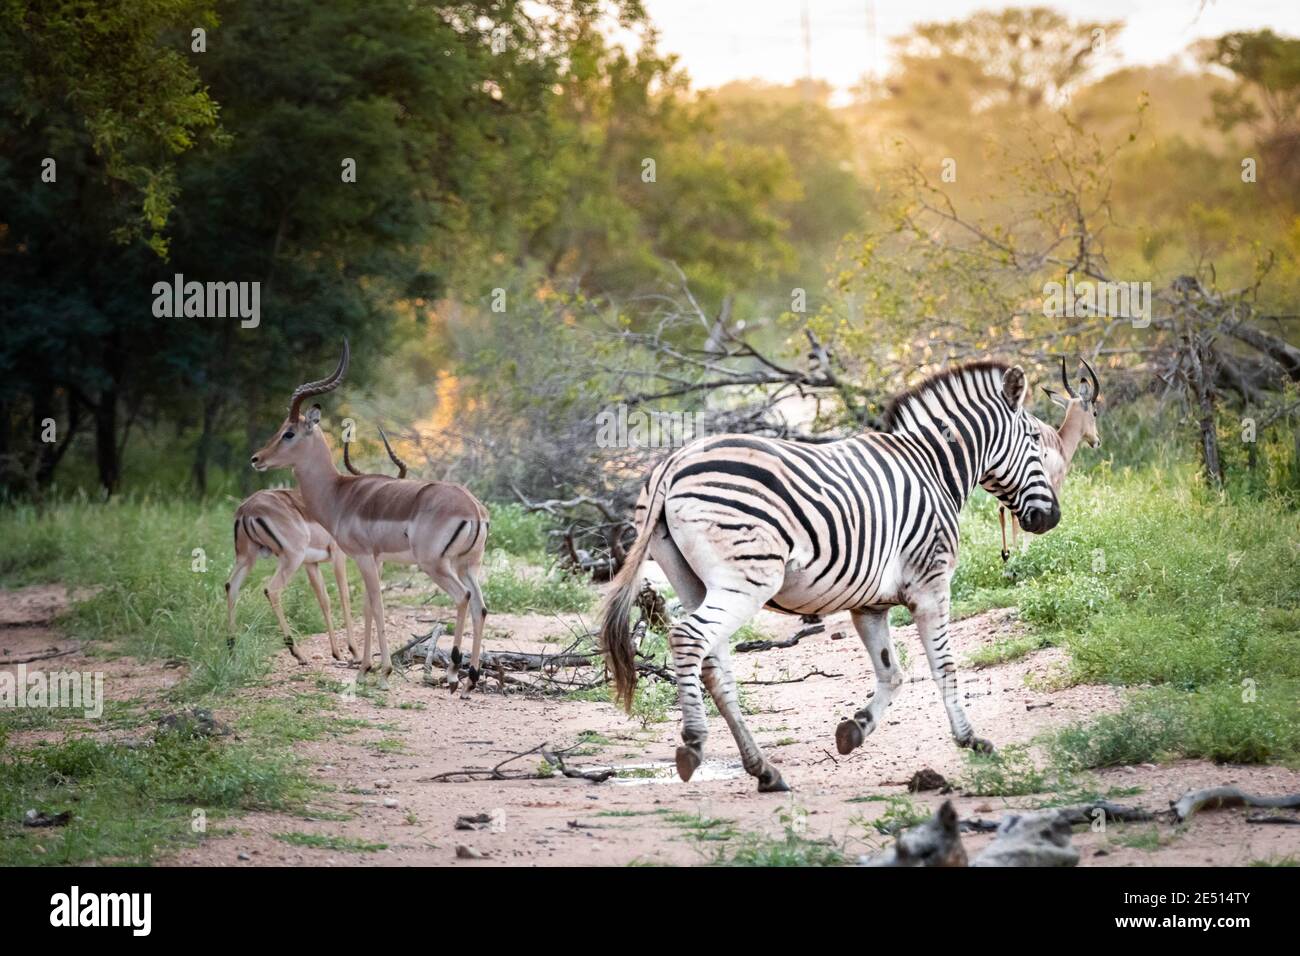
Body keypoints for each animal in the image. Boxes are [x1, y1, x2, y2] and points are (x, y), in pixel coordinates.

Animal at [603, 358, 1060, 790]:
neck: (933, 468)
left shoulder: (870, 605)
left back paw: (764, 770)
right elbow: (943, 666)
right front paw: (970, 740)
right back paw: (694, 744)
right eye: (1035, 440)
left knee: (714, 664)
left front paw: (854, 730)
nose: (1051, 518)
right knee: (688, 638)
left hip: (692, 581)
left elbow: (892, 672)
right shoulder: (931, 583)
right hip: (748, 579)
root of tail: (673, 463)